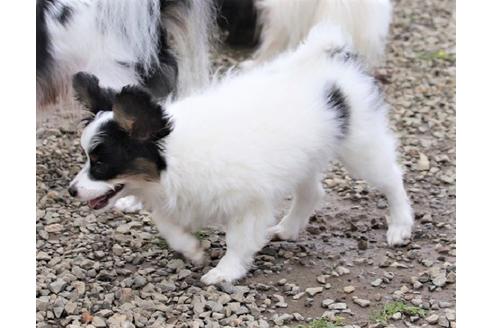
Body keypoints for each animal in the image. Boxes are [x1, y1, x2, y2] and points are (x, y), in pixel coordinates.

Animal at [67, 23, 414, 284]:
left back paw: (400, 225)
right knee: (312, 192)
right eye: (86, 158)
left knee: (391, 179)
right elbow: (165, 224)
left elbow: (237, 241)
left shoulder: (249, 202)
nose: (71, 191)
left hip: (360, 148)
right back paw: (288, 229)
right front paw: (191, 249)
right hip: (304, 156)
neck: (172, 158)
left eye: (100, 163)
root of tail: (332, 56)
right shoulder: (176, 199)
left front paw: (225, 272)